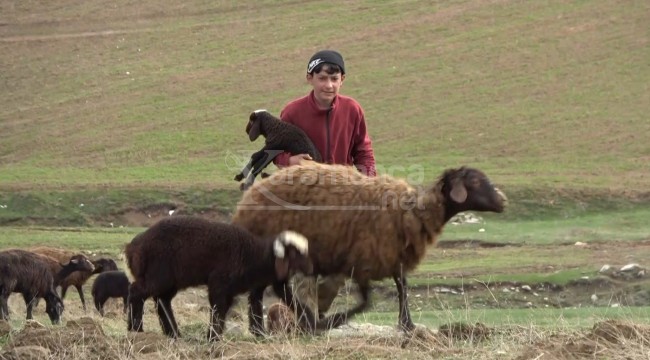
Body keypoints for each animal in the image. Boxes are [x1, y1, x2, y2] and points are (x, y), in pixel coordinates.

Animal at [124, 215, 314, 342]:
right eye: (295, 254)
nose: (311, 268)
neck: (255, 256)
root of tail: (133, 247)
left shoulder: (245, 287)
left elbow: (238, 309)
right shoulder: (219, 284)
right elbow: (218, 309)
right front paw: (213, 337)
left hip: (169, 282)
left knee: (162, 301)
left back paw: (173, 333)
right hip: (158, 276)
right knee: (136, 291)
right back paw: (136, 329)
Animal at [232, 162, 506, 332]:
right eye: (475, 181)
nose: (503, 200)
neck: (415, 212)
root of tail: (249, 198)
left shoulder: (393, 254)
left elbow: (402, 288)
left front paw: (407, 325)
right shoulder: (364, 257)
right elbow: (368, 302)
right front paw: (333, 321)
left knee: (262, 290)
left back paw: (263, 330)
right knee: (272, 289)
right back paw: (303, 321)